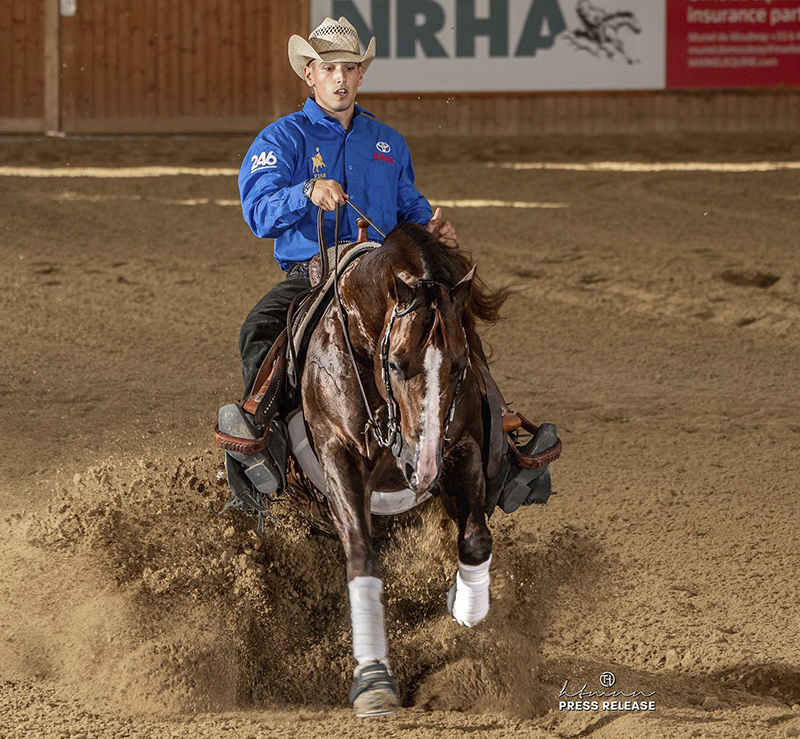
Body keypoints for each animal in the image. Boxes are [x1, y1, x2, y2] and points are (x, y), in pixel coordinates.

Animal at [300, 220, 506, 716]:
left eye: (459, 365)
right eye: (395, 363)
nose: (422, 468)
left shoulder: (461, 448)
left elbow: (475, 539)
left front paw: (464, 609)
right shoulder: (339, 455)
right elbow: (361, 554)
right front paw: (373, 678)